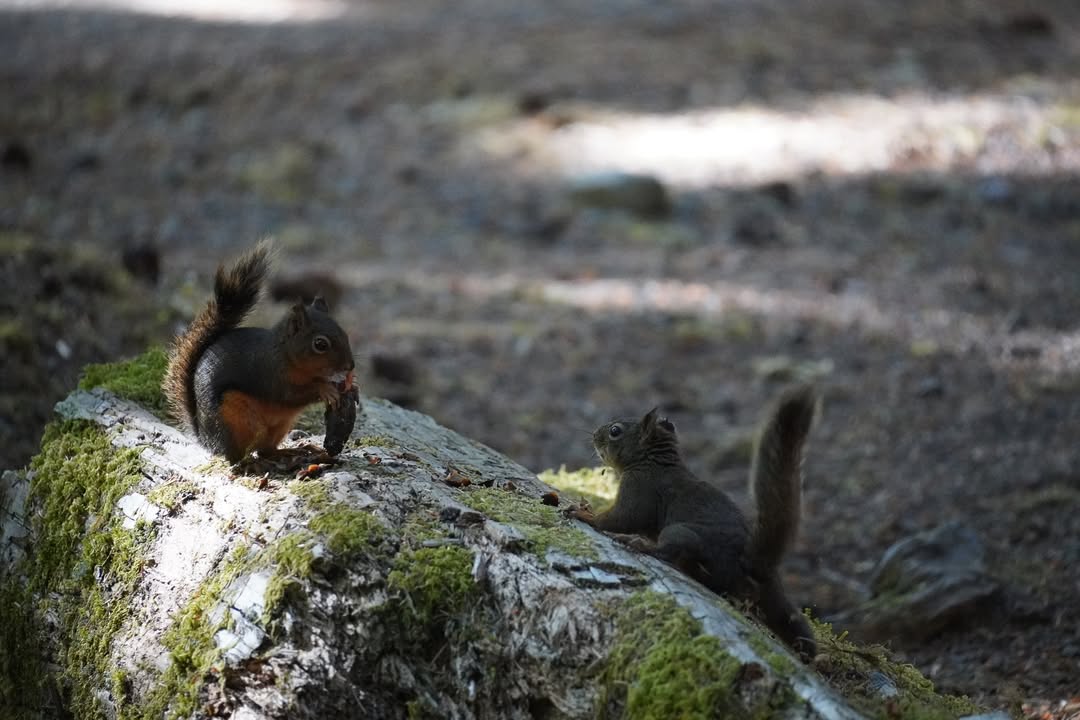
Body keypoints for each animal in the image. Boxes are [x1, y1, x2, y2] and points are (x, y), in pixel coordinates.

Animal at [162, 241, 357, 463]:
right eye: (320, 344)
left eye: (344, 333)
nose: (350, 366)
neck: (285, 354)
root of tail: (205, 439)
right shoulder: (268, 372)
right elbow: (290, 394)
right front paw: (325, 389)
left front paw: (350, 385)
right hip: (235, 419)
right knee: (235, 455)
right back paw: (247, 464)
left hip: (280, 426)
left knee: (266, 450)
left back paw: (291, 451)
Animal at [571, 385, 818, 659]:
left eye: (615, 431)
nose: (594, 435)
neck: (651, 462)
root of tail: (755, 567)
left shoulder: (640, 489)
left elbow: (621, 517)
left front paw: (586, 514)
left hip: (681, 532)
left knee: (670, 551)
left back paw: (639, 544)